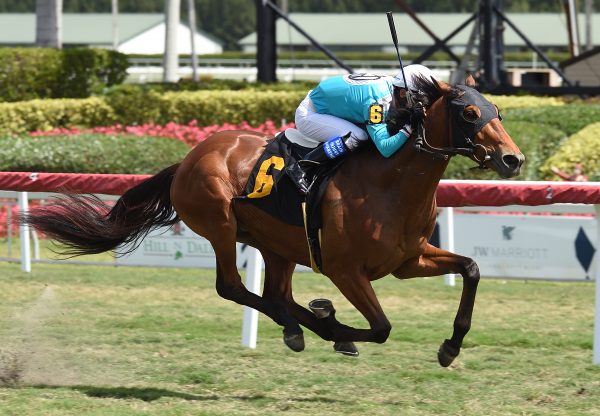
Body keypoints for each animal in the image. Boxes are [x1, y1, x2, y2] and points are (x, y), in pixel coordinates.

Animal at [22, 75, 520, 368]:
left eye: (497, 110)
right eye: (470, 113)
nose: (512, 159)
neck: (390, 183)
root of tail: (187, 159)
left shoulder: (408, 260)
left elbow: (471, 268)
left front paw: (450, 346)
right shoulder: (345, 269)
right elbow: (381, 327)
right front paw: (339, 330)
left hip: (278, 244)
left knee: (277, 294)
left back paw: (305, 324)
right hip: (220, 224)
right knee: (233, 287)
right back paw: (312, 327)